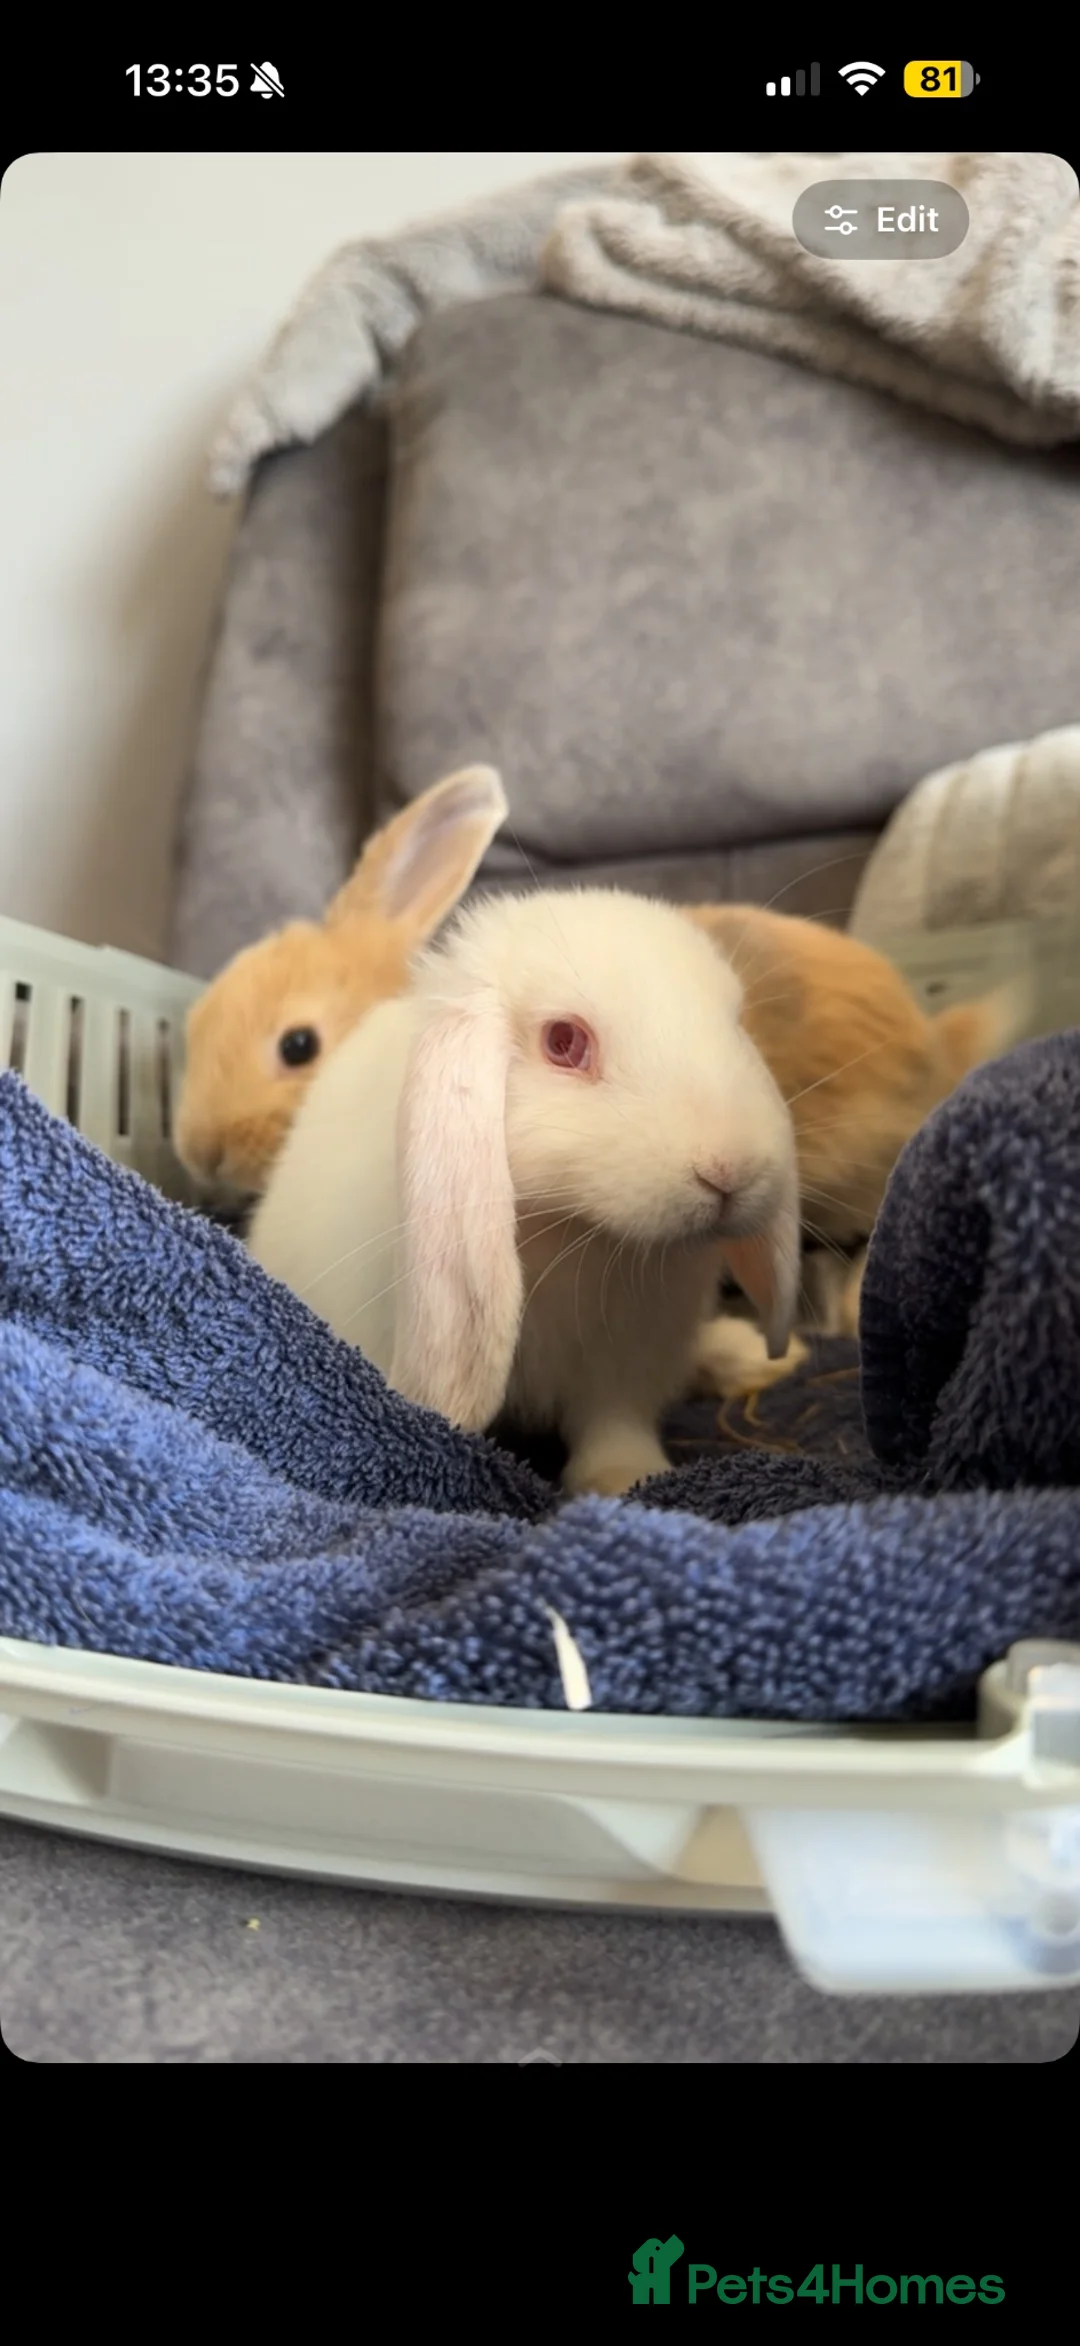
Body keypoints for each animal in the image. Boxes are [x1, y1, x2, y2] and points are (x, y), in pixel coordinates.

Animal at [248, 886, 804, 1498]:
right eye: (563, 1041)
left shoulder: (626, 1362)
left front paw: (626, 1477)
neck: (575, 1231)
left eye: (735, 1023)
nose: (731, 1170)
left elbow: (615, 1425)